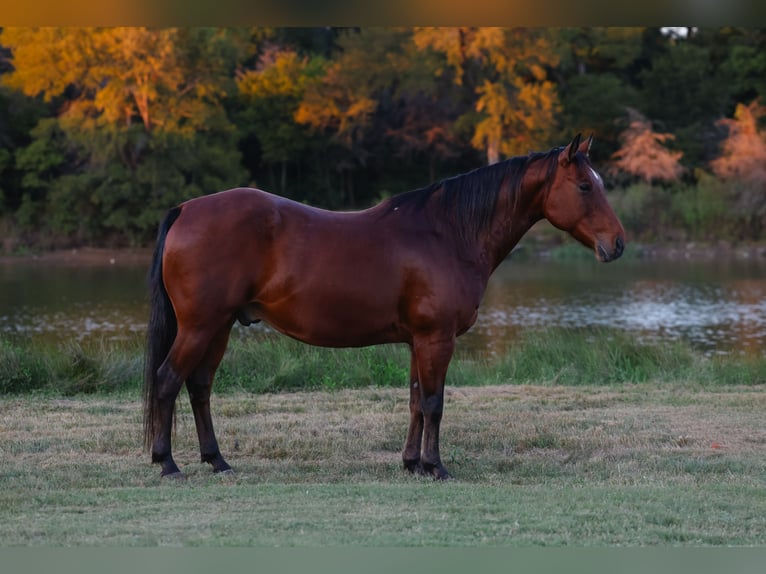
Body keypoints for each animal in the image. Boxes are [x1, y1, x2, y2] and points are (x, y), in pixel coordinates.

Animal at [143, 133, 625, 480]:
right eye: (585, 186)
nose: (617, 244)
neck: (447, 233)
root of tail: (186, 209)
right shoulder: (436, 339)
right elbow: (433, 402)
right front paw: (436, 466)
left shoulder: (418, 341)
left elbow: (414, 401)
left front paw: (412, 463)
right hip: (200, 326)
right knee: (168, 380)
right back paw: (168, 464)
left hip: (220, 326)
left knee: (199, 386)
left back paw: (217, 460)